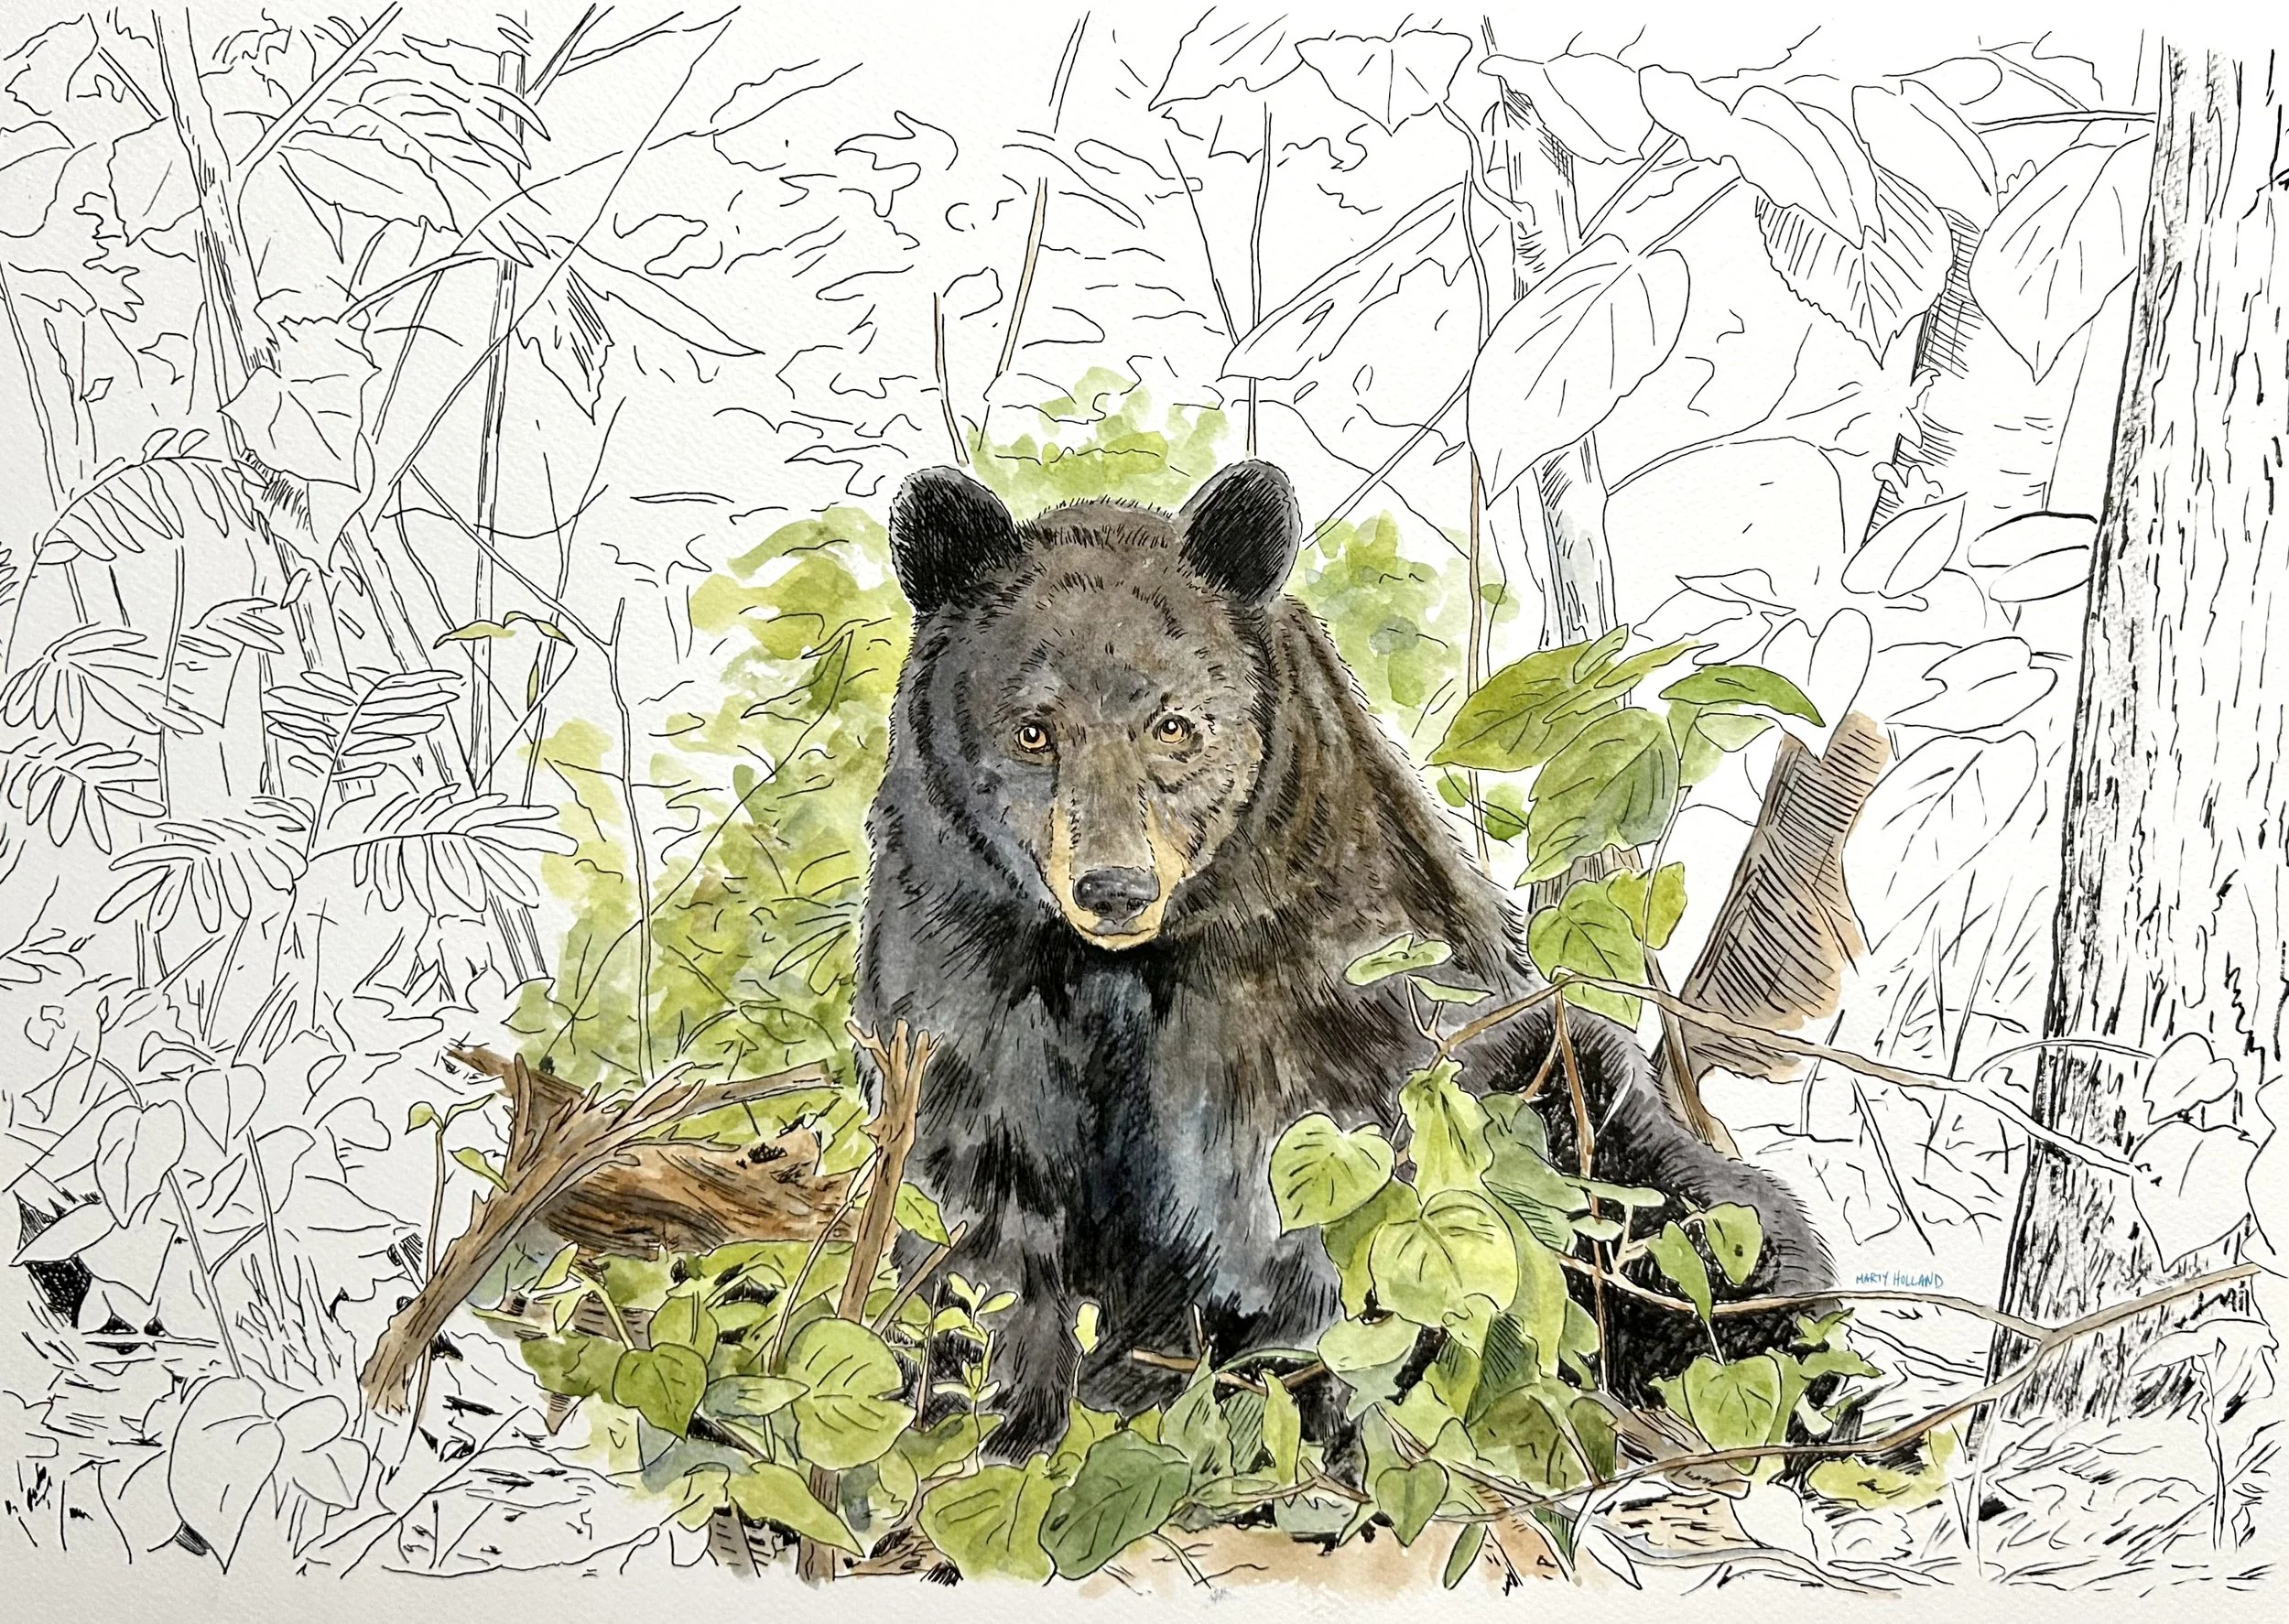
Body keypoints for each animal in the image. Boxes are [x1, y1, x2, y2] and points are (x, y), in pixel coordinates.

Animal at [854, 459, 1829, 1458]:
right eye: (1033, 730)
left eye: (1174, 725)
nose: (1114, 886)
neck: (1120, 969)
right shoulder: (969, 953)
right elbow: (978, 1190)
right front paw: (991, 1409)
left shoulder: (1305, 984)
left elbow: (1300, 1202)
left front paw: (1261, 1402)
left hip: (1589, 1123)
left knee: (1725, 1234)